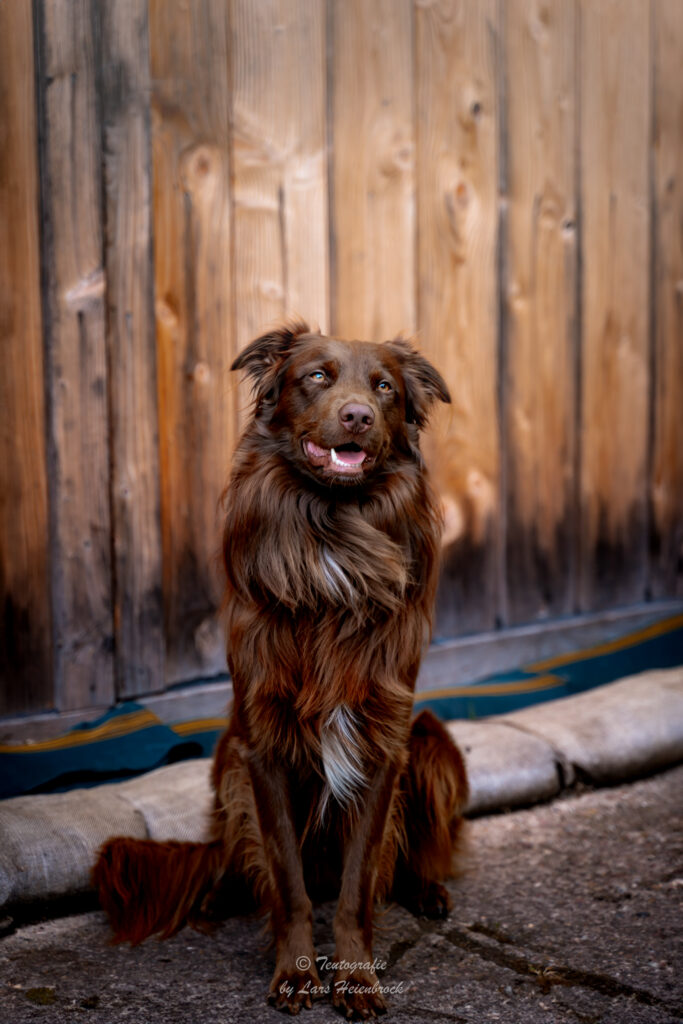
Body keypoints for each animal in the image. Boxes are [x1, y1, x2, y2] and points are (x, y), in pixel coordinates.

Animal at [94, 319, 471, 1015]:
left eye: (384, 387)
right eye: (316, 376)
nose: (358, 415)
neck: (334, 531)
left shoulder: (383, 741)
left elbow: (357, 888)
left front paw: (355, 978)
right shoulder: (262, 744)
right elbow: (289, 885)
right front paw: (296, 973)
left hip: (431, 739)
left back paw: (427, 889)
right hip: (228, 758)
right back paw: (221, 892)